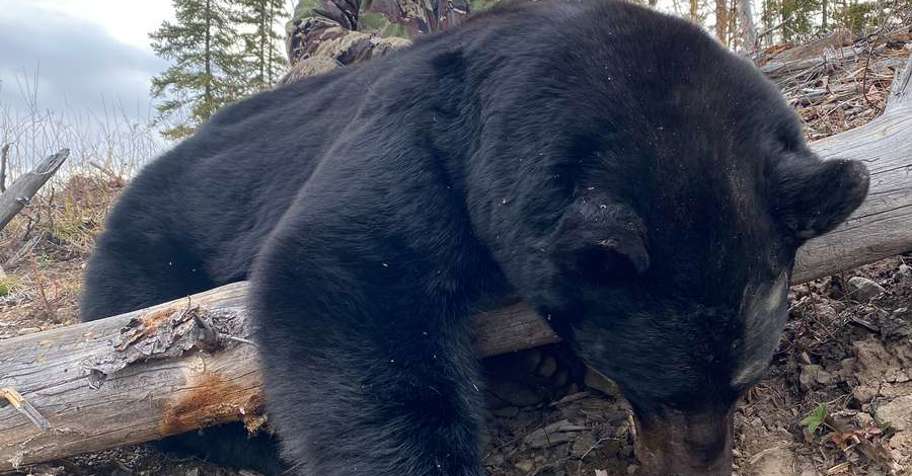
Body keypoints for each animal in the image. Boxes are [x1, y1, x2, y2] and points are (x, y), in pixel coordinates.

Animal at [80, 0, 870, 474]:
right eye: (654, 386)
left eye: (743, 383)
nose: (696, 464)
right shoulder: (429, 140)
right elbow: (345, 274)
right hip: (149, 256)